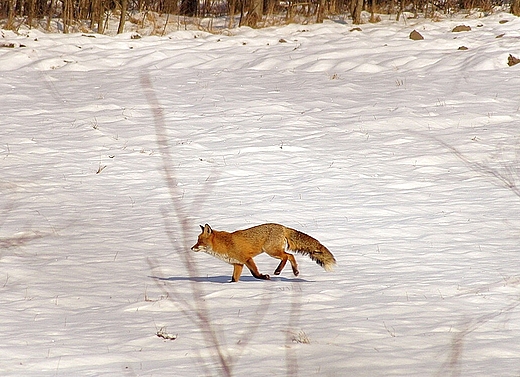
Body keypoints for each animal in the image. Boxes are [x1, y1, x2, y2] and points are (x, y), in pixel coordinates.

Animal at [192, 222, 338, 280]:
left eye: (199, 241)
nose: (191, 248)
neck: (225, 244)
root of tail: (282, 226)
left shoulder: (247, 259)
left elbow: (255, 273)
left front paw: (264, 277)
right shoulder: (238, 264)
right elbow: (234, 278)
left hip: (271, 251)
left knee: (287, 256)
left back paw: (278, 271)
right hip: (273, 251)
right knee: (291, 256)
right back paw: (295, 271)